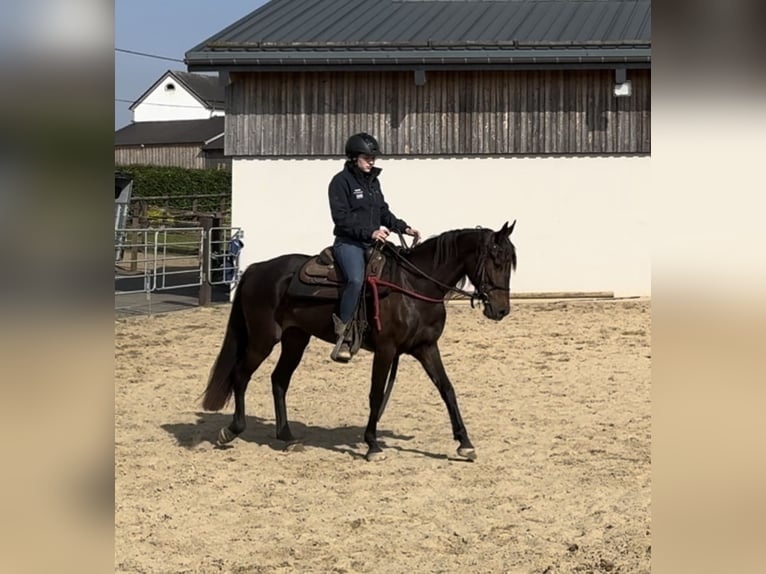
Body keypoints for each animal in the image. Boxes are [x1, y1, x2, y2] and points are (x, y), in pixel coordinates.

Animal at [201, 222, 520, 464]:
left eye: (510, 262)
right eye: (495, 260)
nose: (501, 310)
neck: (414, 287)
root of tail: (257, 269)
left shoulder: (426, 348)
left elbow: (447, 390)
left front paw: (464, 443)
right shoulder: (386, 350)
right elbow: (376, 395)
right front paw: (372, 444)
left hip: (295, 340)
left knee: (279, 380)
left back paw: (288, 437)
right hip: (262, 339)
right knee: (240, 375)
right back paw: (232, 429)